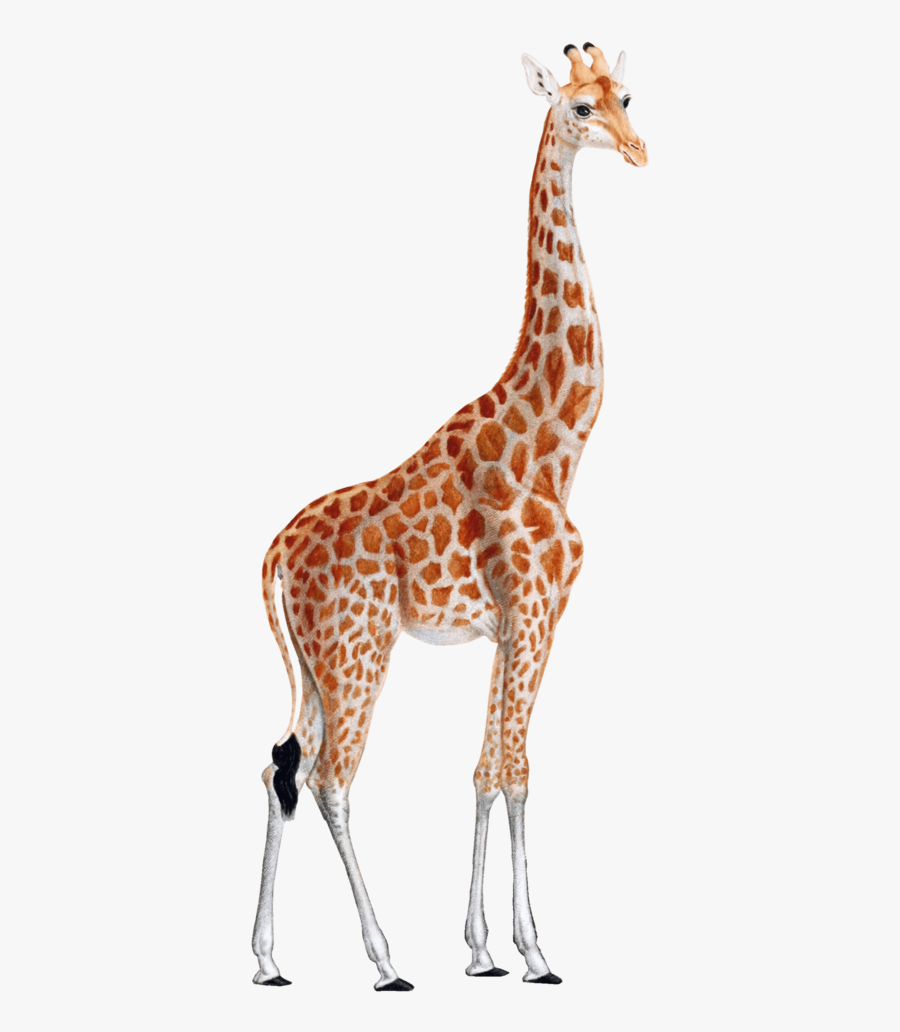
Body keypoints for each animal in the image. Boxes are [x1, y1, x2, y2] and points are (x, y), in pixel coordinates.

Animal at [251, 41, 648, 991]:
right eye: (578, 109)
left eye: (628, 97)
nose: (639, 151)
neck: (557, 445)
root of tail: (274, 553)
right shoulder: (536, 612)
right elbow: (518, 769)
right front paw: (535, 951)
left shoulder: (509, 625)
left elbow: (485, 768)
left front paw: (481, 949)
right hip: (357, 651)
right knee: (329, 777)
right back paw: (385, 960)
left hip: (315, 663)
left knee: (279, 763)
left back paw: (269, 959)